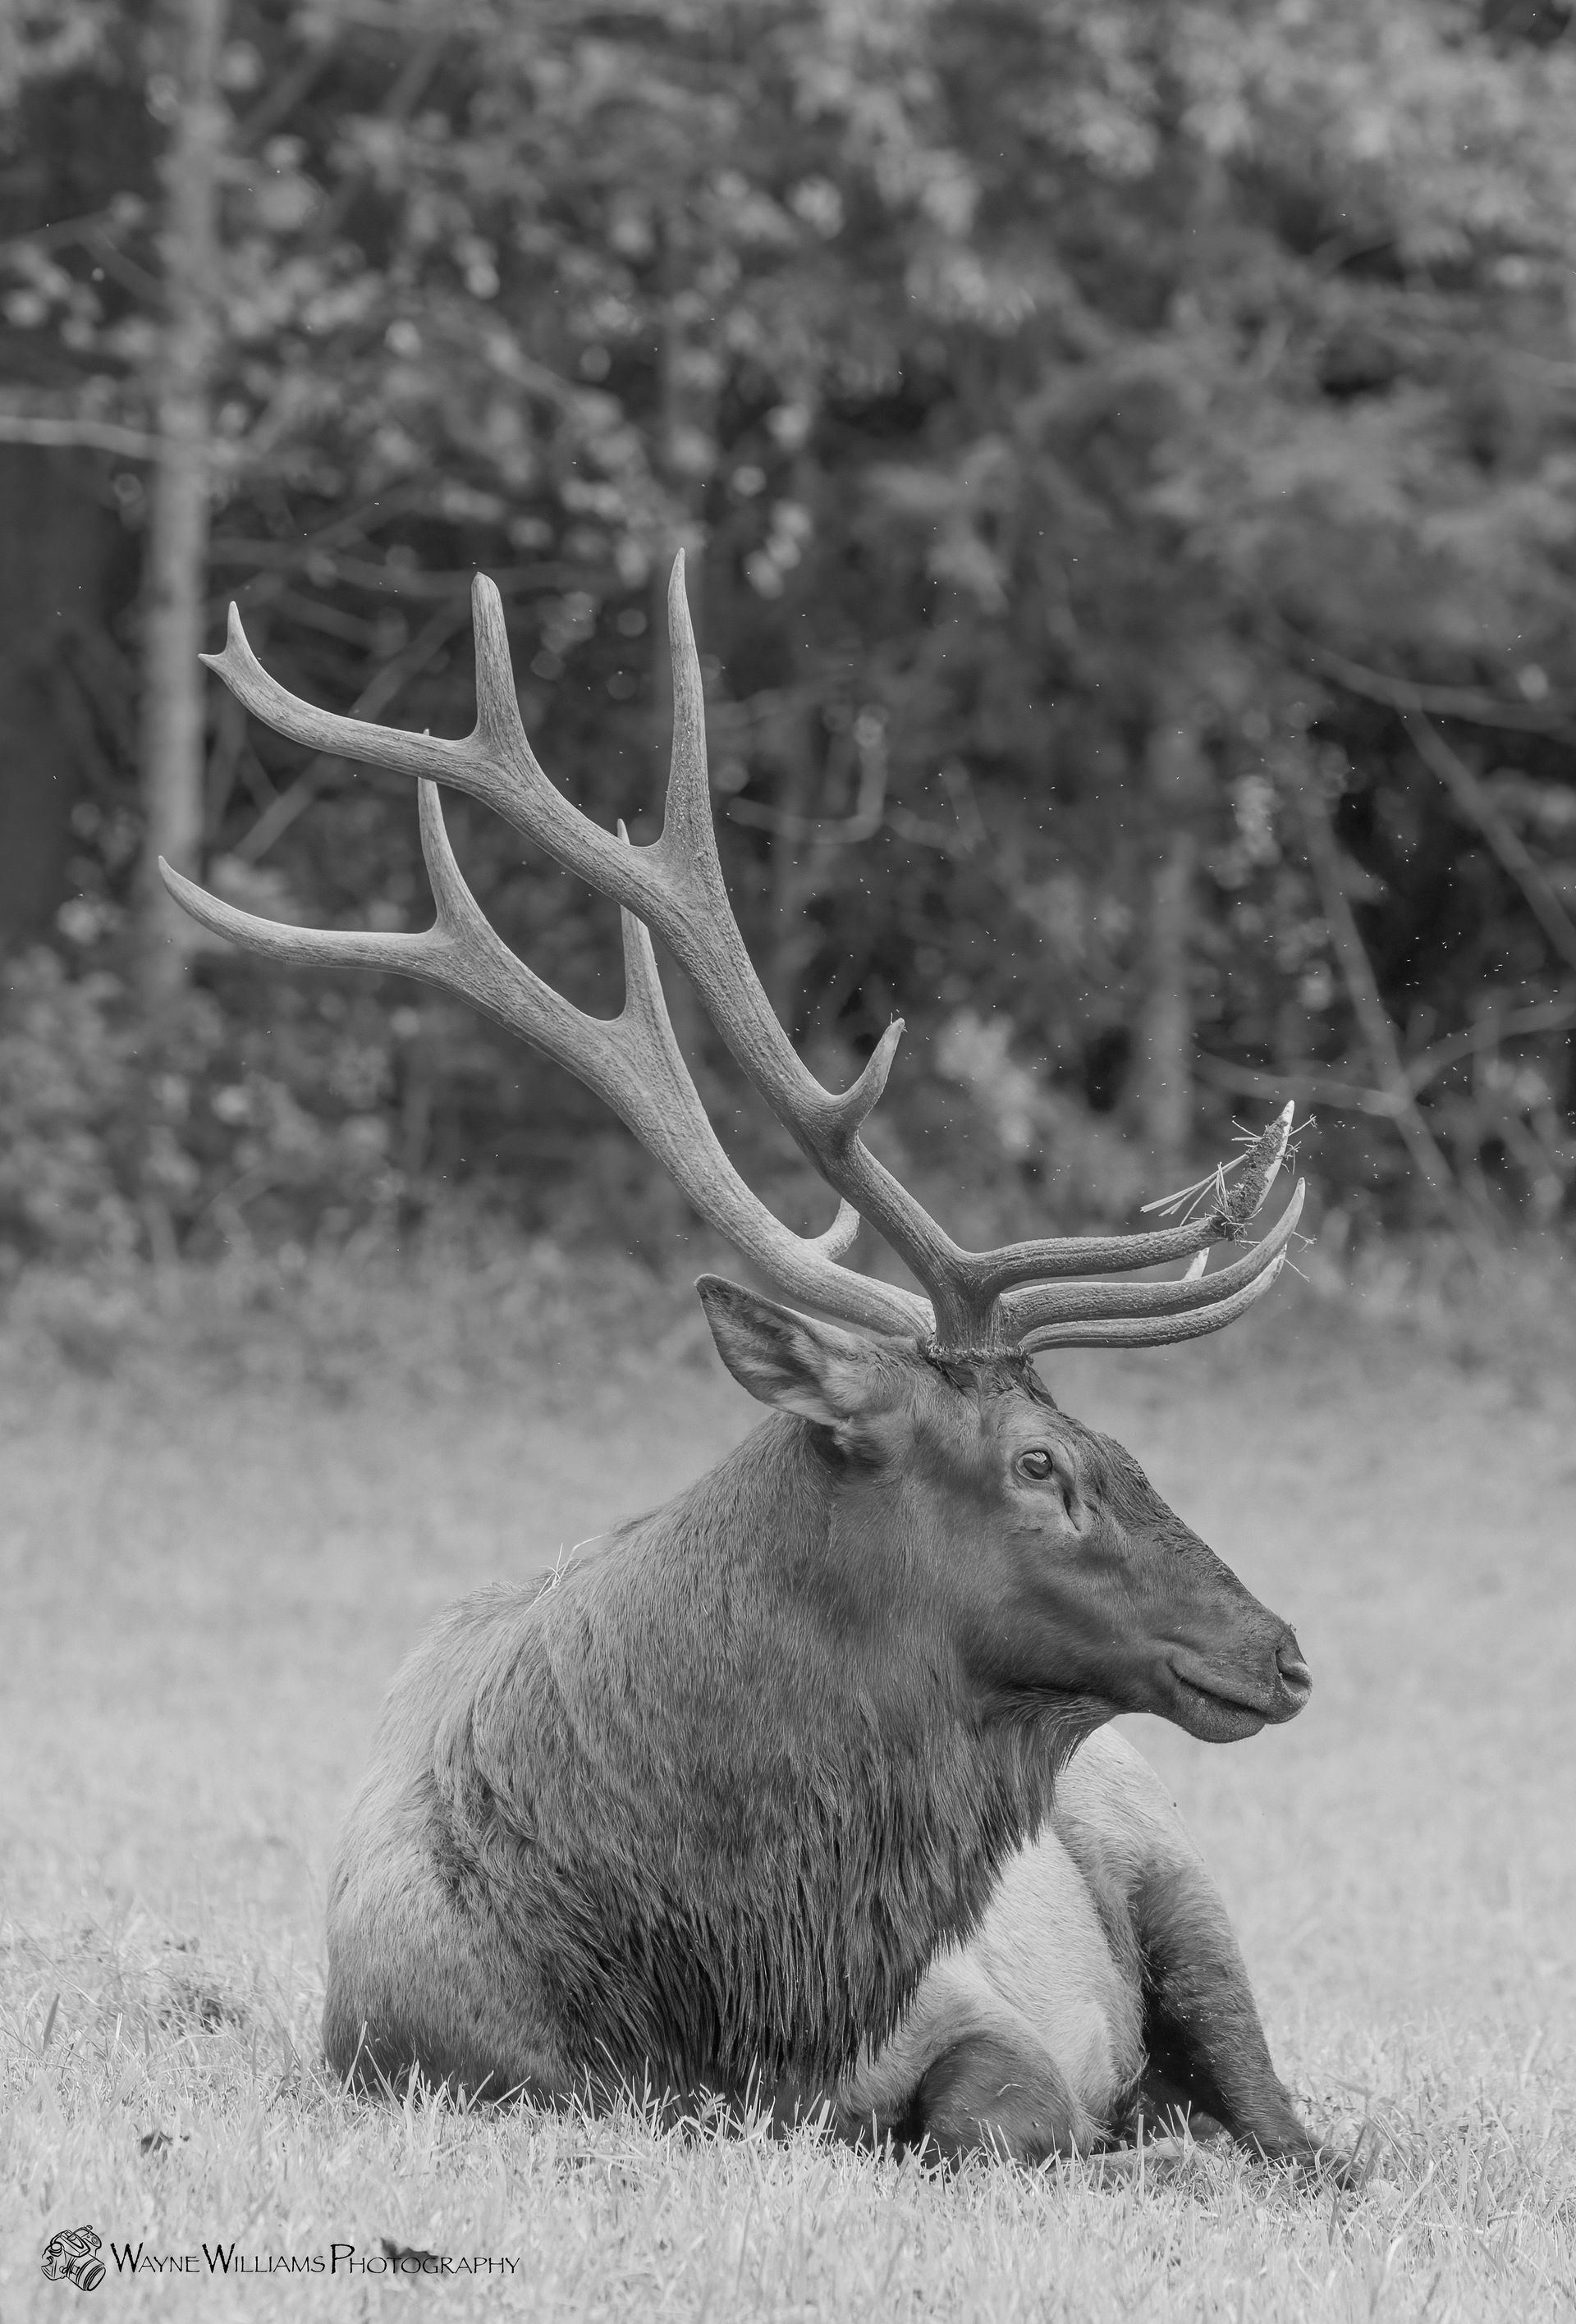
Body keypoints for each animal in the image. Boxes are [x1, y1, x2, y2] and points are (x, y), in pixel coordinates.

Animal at [161, 558, 1340, 2177]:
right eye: (1043, 1462)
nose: (1280, 1650)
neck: (719, 1995)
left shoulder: (973, 2011)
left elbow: (1001, 2114)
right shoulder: (416, 2053)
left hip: (1180, 1876)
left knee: (1300, 2128)